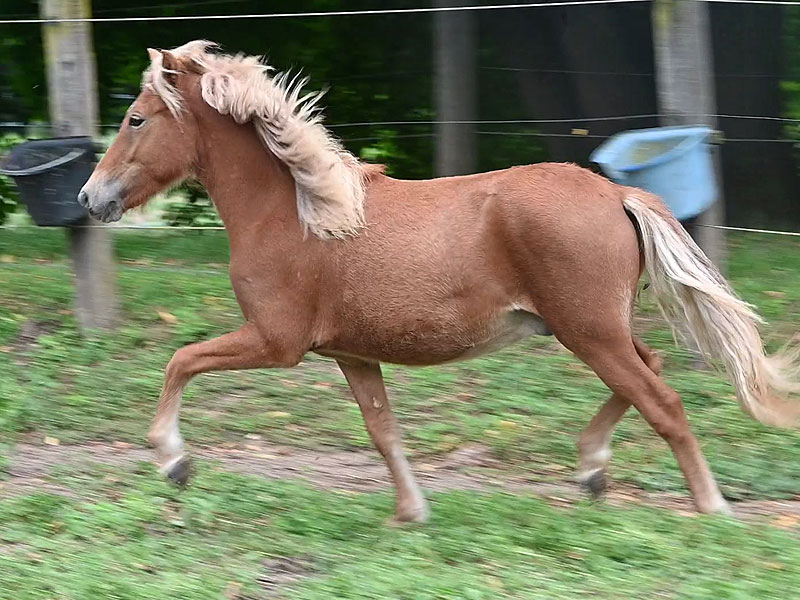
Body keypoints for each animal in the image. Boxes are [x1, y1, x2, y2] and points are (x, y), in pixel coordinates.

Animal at [79, 40, 799, 523]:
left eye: (136, 118)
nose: (90, 198)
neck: (296, 210)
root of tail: (617, 192)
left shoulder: (276, 342)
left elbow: (180, 360)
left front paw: (173, 461)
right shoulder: (352, 354)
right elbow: (383, 431)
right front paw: (410, 512)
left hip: (589, 332)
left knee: (664, 401)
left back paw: (710, 506)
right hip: (594, 330)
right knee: (649, 374)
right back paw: (592, 470)